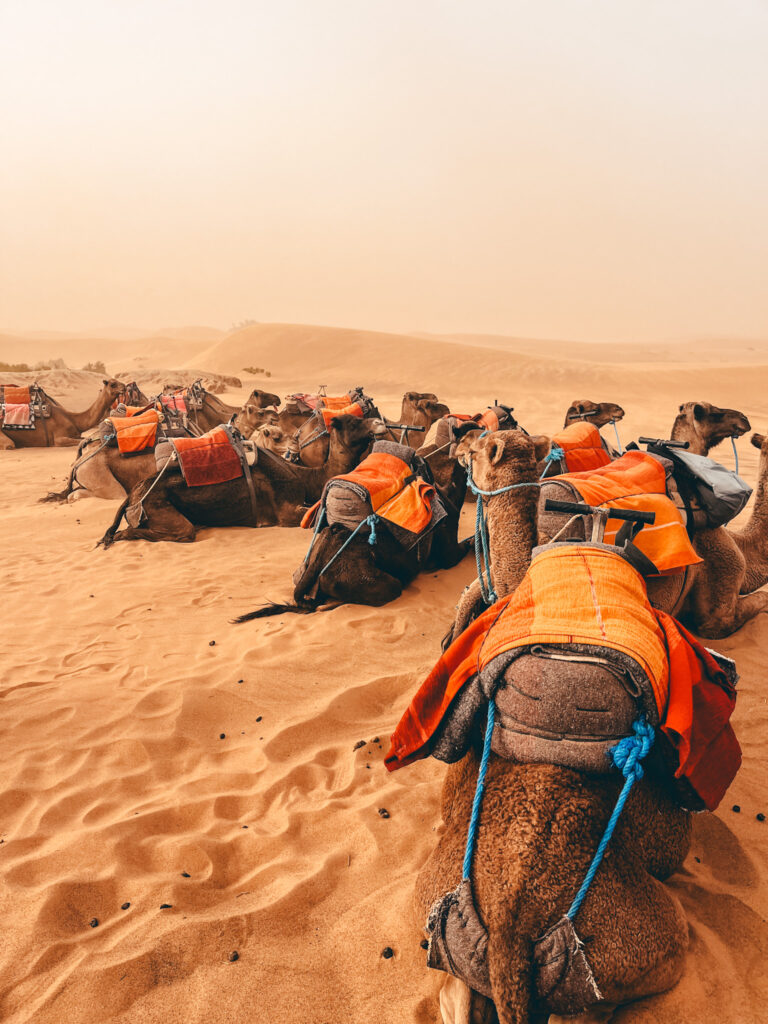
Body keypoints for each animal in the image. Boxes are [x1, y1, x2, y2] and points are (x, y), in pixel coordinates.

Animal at [99, 413, 382, 548]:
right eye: (353, 422)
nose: (379, 422)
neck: (307, 477)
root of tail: (132, 495)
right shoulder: (285, 510)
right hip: (158, 507)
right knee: (157, 531)